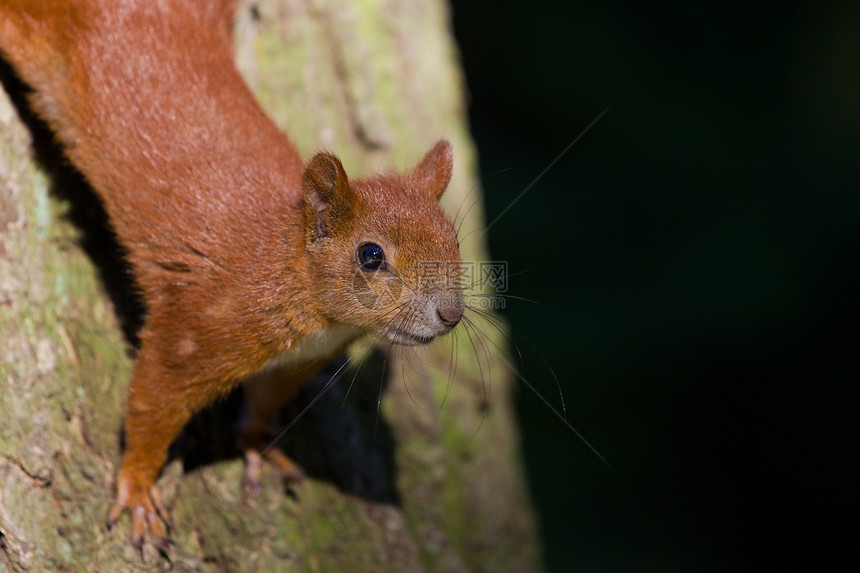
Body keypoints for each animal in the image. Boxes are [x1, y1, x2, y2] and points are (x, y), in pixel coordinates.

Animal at [0, 0, 464, 548]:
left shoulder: (295, 362)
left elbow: (263, 403)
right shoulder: (197, 327)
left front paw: (258, 444)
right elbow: (152, 406)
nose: (451, 313)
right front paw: (137, 489)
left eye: (455, 241)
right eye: (370, 256)